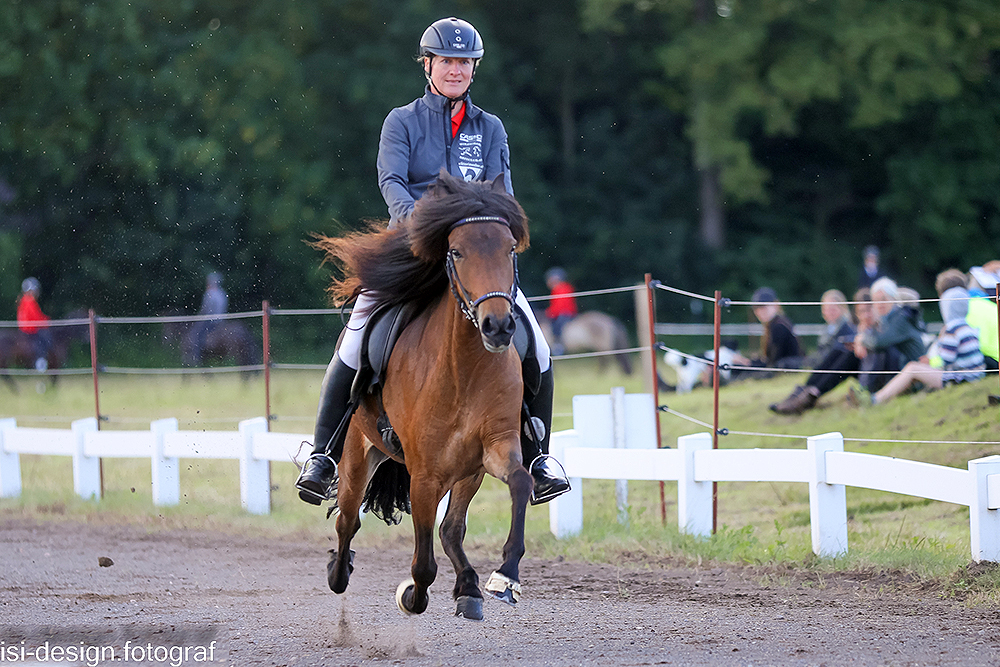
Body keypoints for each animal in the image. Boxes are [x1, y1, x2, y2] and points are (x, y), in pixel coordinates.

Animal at [316, 171, 540, 620]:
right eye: (456, 251)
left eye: (510, 249)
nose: (498, 327)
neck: (466, 368)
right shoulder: (424, 474)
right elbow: (422, 563)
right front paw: (412, 596)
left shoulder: (494, 448)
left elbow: (520, 483)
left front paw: (505, 576)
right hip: (356, 457)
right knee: (347, 521)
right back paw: (338, 570)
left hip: (467, 471)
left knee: (451, 528)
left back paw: (469, 587)